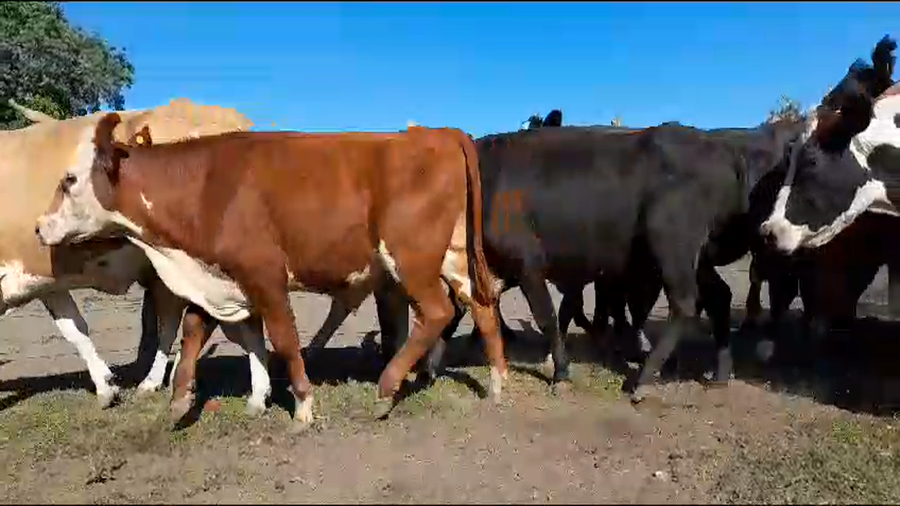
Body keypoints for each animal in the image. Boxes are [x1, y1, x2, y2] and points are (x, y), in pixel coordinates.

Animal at [35, 114, 508, 429]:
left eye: (69, 180)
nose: (39, 226)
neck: (207, 187)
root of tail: (435, 132)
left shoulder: (265, 275)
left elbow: (282, 336)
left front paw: (303, 405)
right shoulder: (219, 277)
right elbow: (194, 330)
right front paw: (181, 398)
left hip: (409, 258)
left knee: (438, 312)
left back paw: (387, 387)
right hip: (452, 256)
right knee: (481, 306)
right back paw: (499, 382)